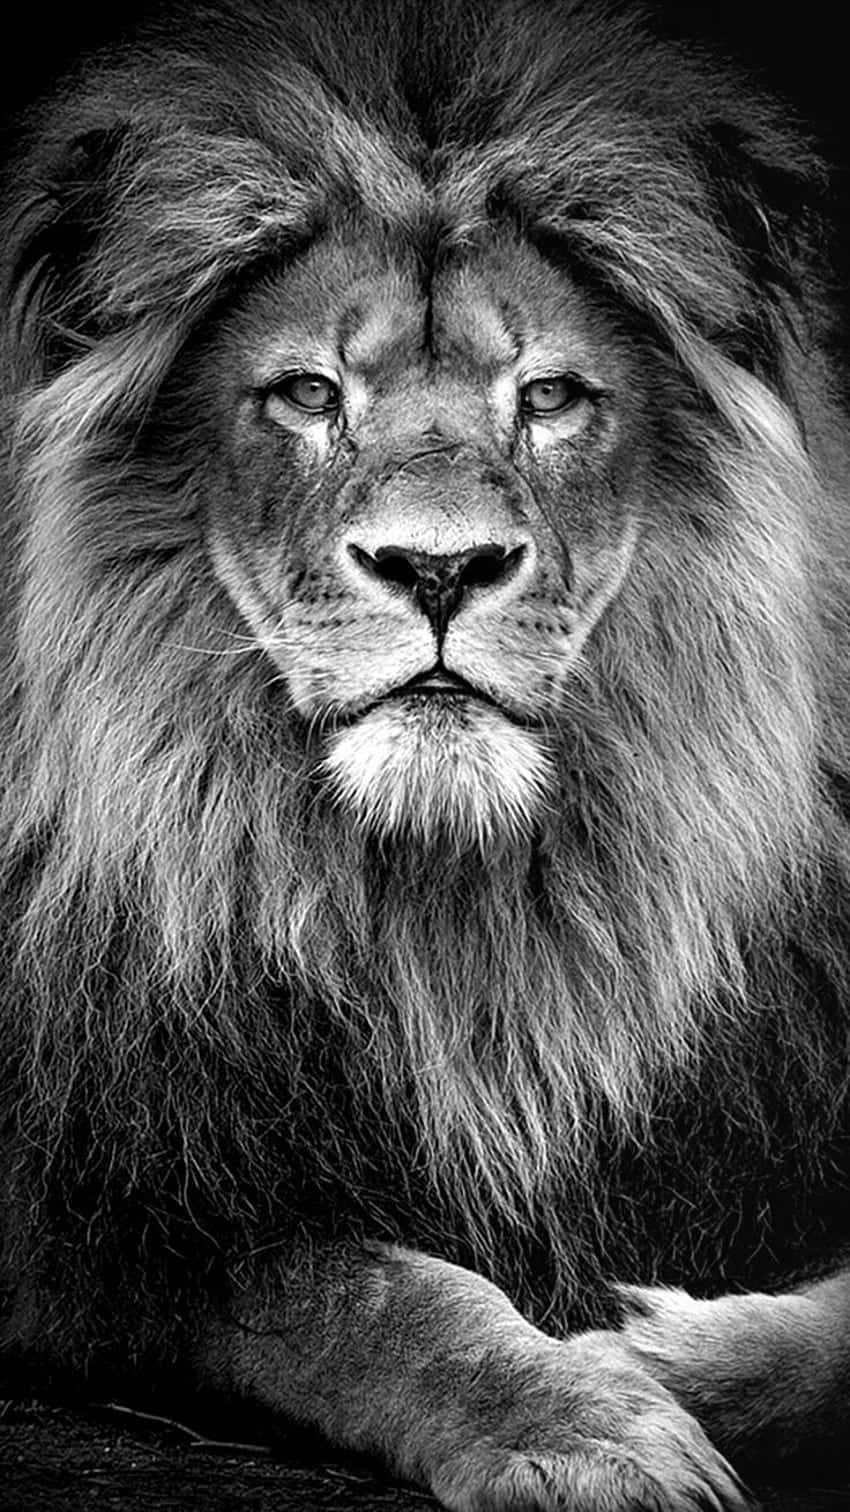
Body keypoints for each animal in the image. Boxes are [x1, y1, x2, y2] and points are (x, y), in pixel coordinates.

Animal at [1, 0, 849, 1506]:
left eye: (552, 396)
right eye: (305, 393)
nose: (439, 567)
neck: (453, 912)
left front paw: (660, 1354)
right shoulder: (114, 1212)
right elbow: (363, 1294)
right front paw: (576, 1417)